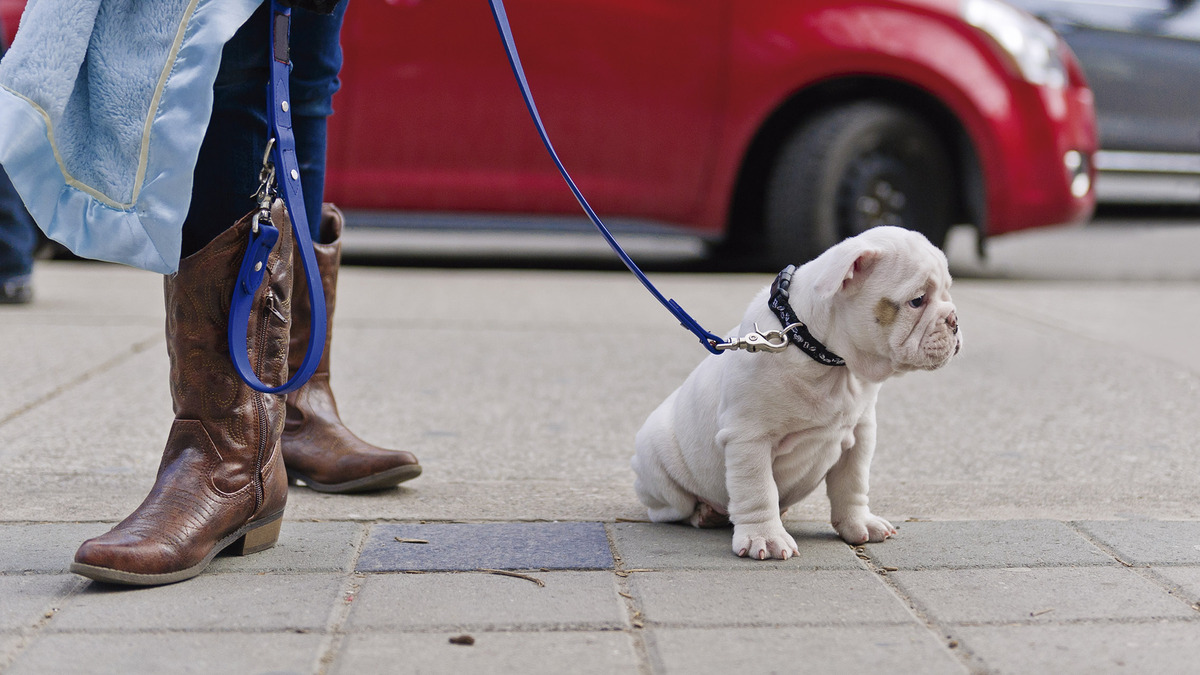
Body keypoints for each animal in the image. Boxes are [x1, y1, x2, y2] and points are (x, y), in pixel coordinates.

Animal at [633, 224, 960, 557]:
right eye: (917, 300)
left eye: (947, 292)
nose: (954, 319)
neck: (826, 358)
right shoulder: (749, 438)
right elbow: (758, 489)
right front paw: (764, 537)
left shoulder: (860, 433)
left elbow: (853, 483)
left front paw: (859, 523)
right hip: (657, 465)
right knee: (671, 508)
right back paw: (704, 513)